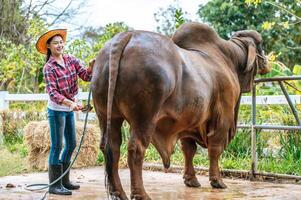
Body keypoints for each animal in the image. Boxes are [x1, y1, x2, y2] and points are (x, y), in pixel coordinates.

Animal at [91, 21, 270, 200]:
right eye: (261, 45)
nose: (267, 62)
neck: (229, 59)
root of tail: (125, 37)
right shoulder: (223, 119)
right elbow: (215, 149)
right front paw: (217, 181)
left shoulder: (188, 122)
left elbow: (189, 150)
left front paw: (191, 180)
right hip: (144, 119)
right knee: (136, 149)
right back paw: (140, 194)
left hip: (107, 115)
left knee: (111, 147)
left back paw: (118, 192)